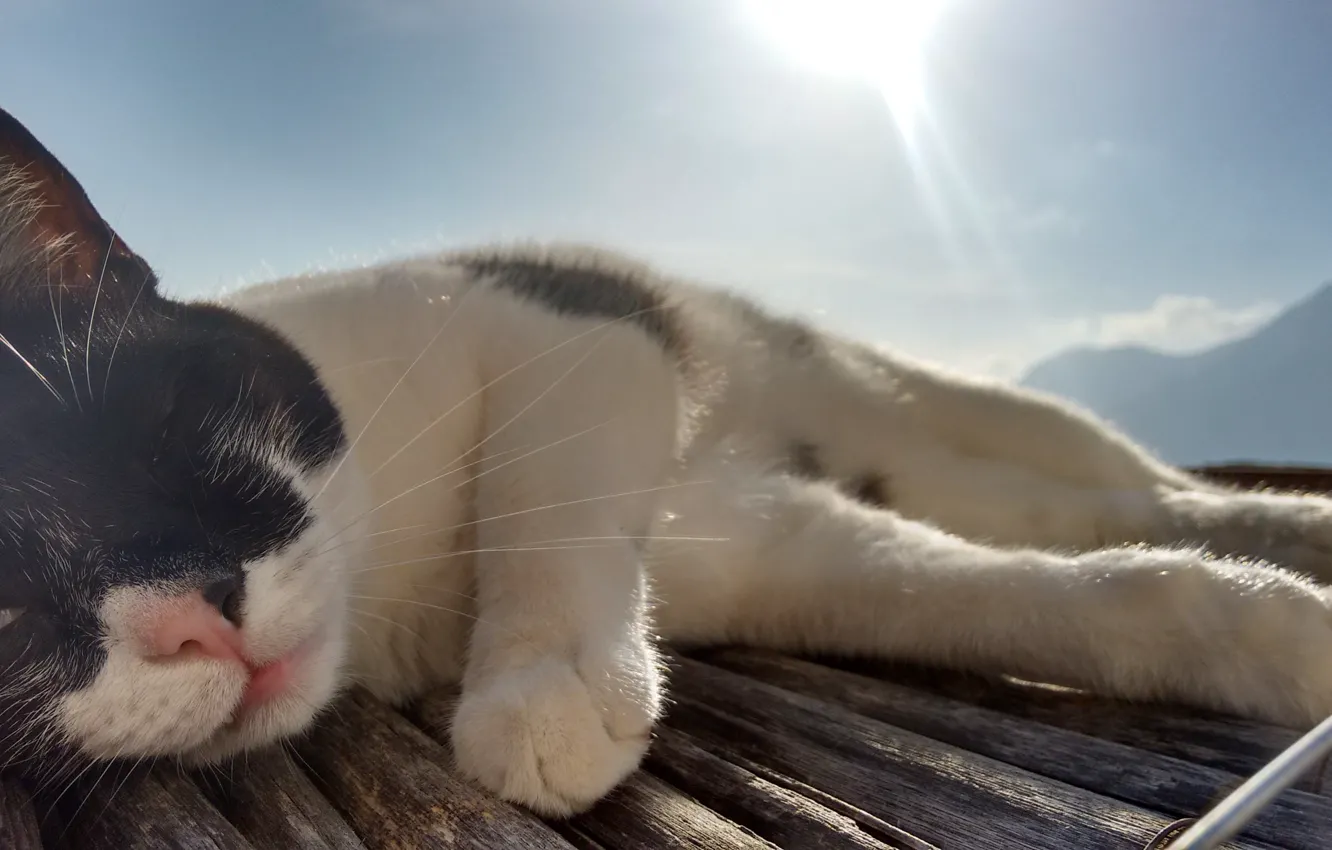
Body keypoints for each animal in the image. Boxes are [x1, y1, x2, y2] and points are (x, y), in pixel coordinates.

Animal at [2, 103, 1332, 820]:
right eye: (7, 612)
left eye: (169, 431)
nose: (198, 615)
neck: (392, 581)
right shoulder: (765, 549)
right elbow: (1030, 602)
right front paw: (1271, 635)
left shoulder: (570, 319)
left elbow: (544, 482)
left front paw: (545, 680)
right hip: (925, 475)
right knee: (1075, 509)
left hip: (941, 398)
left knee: (1133, 480)